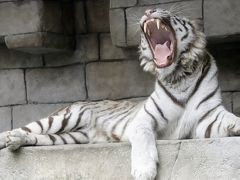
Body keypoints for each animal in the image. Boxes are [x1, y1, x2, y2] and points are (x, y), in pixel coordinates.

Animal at [0, 7, 240, 179]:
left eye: (171, 15)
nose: (148, 10)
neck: (179, 75)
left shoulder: (206, 120)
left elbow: (229, 119)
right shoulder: (143, 120)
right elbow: (143, 138)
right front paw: (144, 170)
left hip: (70, 137)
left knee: (39, 137)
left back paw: (17, 141)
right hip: (66, 118)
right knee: (27, 128)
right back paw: (9, 137)